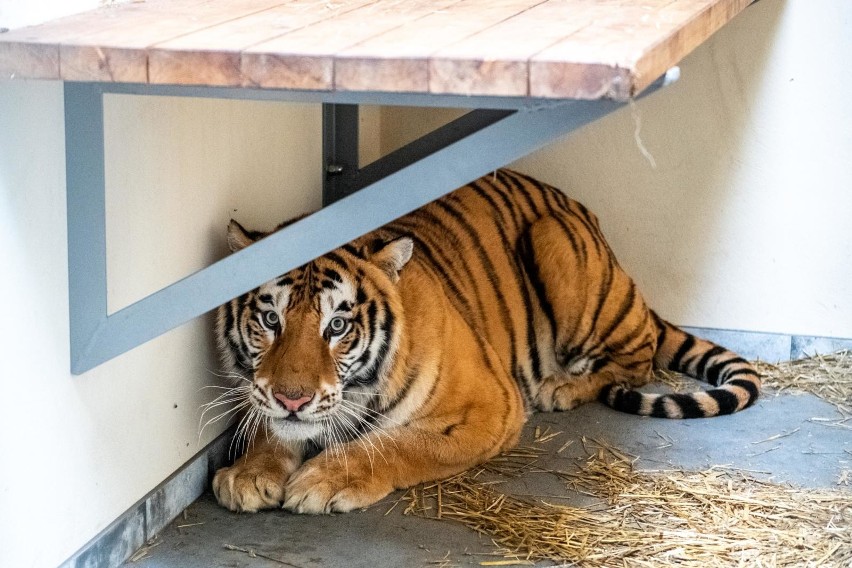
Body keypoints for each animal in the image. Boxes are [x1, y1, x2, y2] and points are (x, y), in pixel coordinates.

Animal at [211, 169, 760, 516]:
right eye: (270, 319)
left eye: (338, 327)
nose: (293, 398)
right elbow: (268, 425)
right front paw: (247, 473)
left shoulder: (488, 405)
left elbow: (395, 444)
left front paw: (325, 480)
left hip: (555, 243)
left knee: (637, 358)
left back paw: (563, 387)